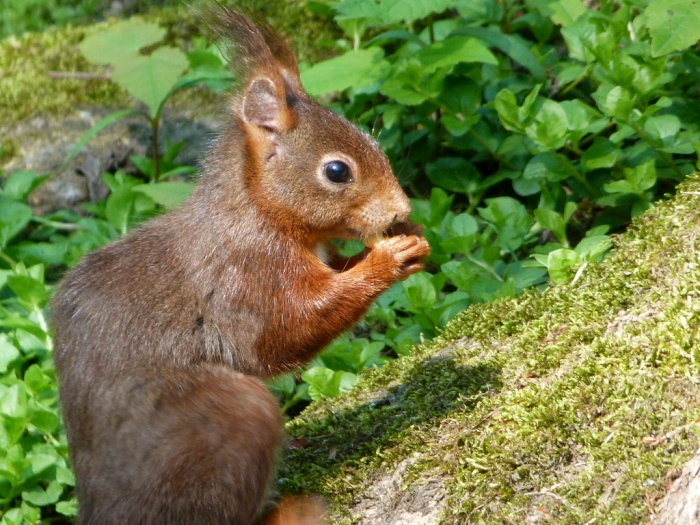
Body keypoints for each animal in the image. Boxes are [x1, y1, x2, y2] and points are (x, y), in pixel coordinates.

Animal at [51, 7, 430, 525]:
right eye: (337, 171)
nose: (399, 209)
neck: (258, 209)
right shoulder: (248, 273)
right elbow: (283, 331)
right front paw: (387, 260)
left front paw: (406, 238)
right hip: (234, 419)